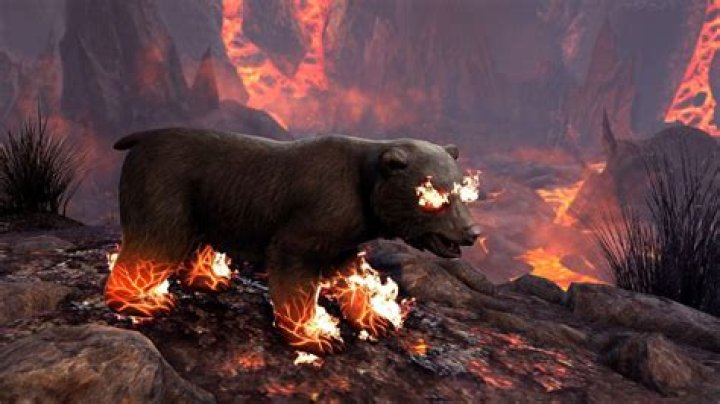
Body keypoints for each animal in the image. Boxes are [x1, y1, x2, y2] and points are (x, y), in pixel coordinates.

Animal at [105, 128, 482, 355]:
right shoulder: (301, 237)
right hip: (166, 196)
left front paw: (376, 320)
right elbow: (296, 284)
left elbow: (355, 281)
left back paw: (210, 279)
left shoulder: (342, 243)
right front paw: (316, 337)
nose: (472, 232)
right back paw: (143, 303)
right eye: (435, 197)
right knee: (152, 247)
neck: (364, 188)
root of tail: (143, 137)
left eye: (462, 192)